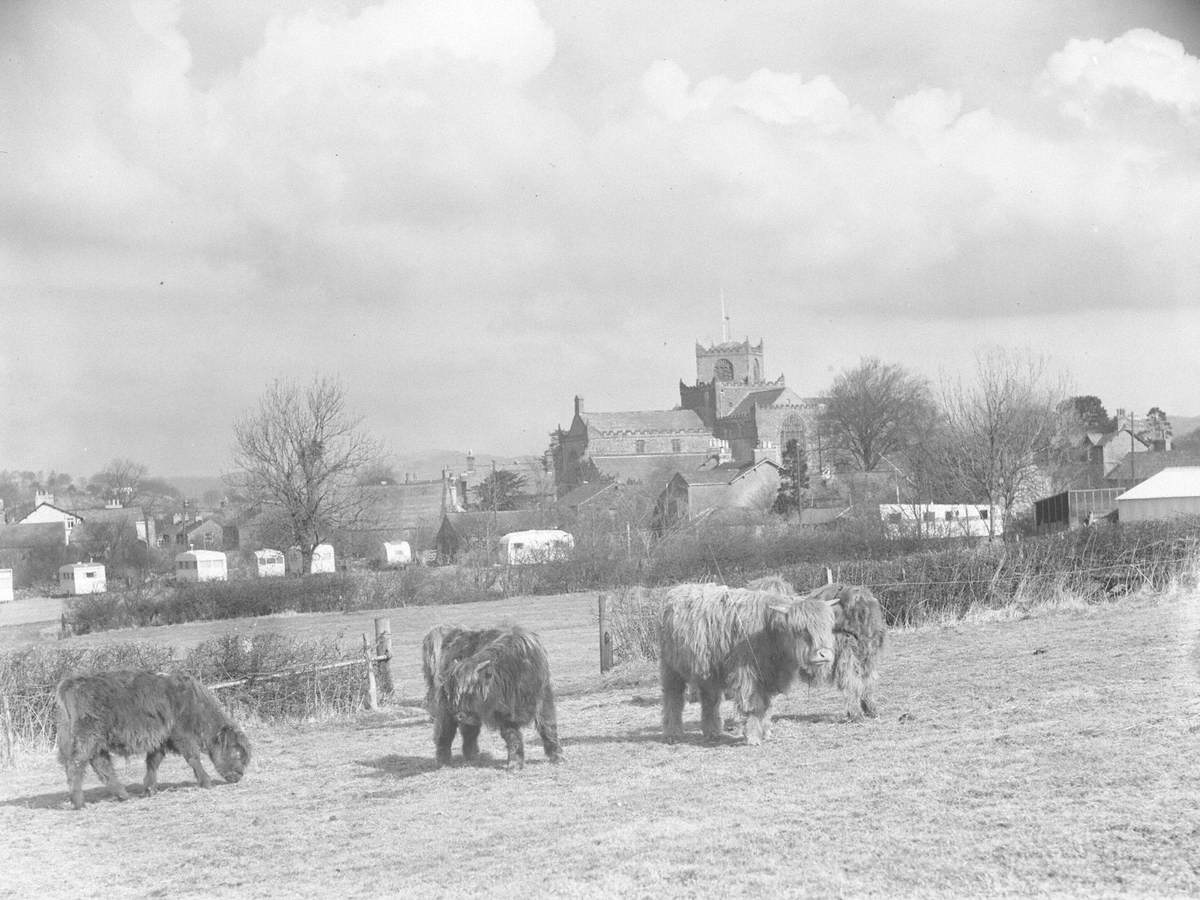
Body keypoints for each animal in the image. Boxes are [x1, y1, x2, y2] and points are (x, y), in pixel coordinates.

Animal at [57, 672, 253, 811]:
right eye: (237, 752)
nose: (239, 775)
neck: (194, 704)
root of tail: (71, 683)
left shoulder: (161, 740)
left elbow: (153, 762)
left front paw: (149, 789)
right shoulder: (181, 734)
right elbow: (193, 757)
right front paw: (206, 782)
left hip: (97, 743)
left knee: (102, 765)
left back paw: (123, 795)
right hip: (87, 738)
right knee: (76, 764)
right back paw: (79, 803)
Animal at [422, 628, 561, 768]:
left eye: (470, 692)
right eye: (452, 694)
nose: (458, 715)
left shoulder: (544, 698)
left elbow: (548, 726)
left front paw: (557, 757)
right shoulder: (504, 714)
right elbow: (512, 736)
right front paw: (514, 763)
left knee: (469, 733)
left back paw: (472, 758)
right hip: (445, 712)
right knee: (445, 733)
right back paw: (443, 761)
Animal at [657, 585, 835, 748]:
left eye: (827, 628)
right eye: (801, 629)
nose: (824, 654)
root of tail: (676, 590)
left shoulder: (769, 678)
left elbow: (767, 706)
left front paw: (766, 732)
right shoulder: (747, 675)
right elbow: (753, 705)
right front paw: (753, 737)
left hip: (709, 671)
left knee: (710, 698)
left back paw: (712, 732)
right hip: (670, 668)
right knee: (673, 698)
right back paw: (673, 733)